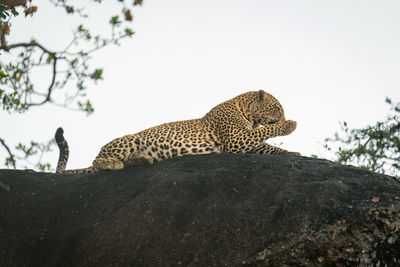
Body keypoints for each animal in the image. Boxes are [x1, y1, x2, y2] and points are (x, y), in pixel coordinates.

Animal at [55, 90, 300, 175]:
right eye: (277, 109)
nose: (285, 117)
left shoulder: (248, 142)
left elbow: (269, 147)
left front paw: (295, 154)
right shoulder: (236, 140)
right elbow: (268, 131)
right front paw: (290, 125)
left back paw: (143, 160)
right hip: (131, 139)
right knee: (97, 162)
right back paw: (112, 163)